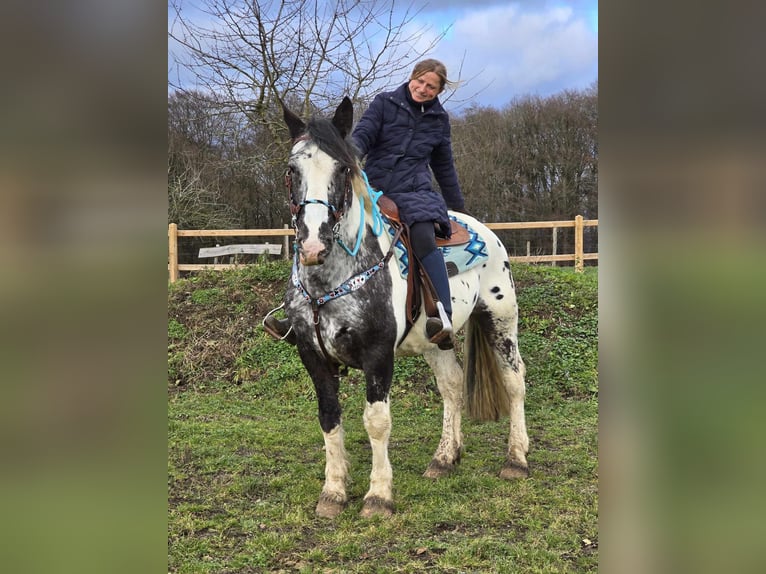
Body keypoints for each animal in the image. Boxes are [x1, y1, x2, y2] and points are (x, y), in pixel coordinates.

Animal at [272, 97, 532, 520]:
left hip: (501, 321)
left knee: (514, 381)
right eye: (291, 169)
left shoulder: (378, 355)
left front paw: (378, 496)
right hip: (435, 340)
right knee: (452, 385)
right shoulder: (313, 355)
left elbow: (376, 422)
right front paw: (333, 492)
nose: (313, 247)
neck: (331, 282)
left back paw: (516, 459)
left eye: (343, 169)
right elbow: (329, 419)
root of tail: (485, 231)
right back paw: (444, 458)